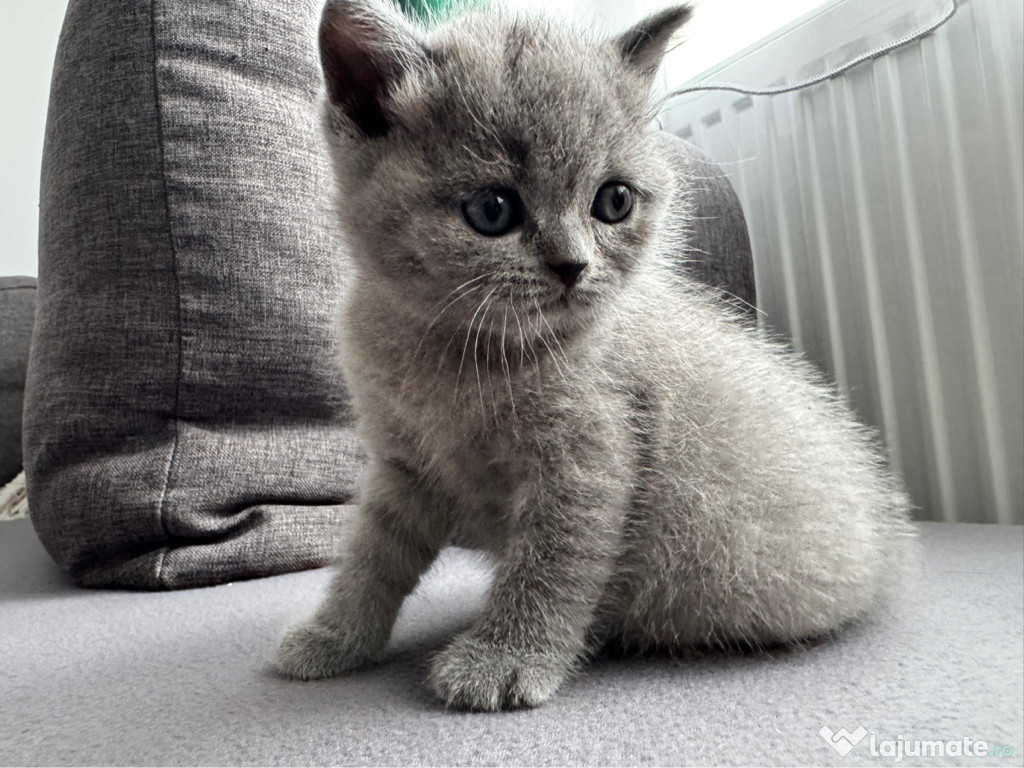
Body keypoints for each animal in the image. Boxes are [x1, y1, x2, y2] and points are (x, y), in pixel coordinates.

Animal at [276, 0, 917, 712]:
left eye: (614, 201)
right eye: (492, 209)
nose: (573, 266)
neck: (458, 351)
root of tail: (887, 543)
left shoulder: (591, 456)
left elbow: (554, 562)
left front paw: (504, 659)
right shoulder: (402, 464)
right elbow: (371, 555)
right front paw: (334, 636)